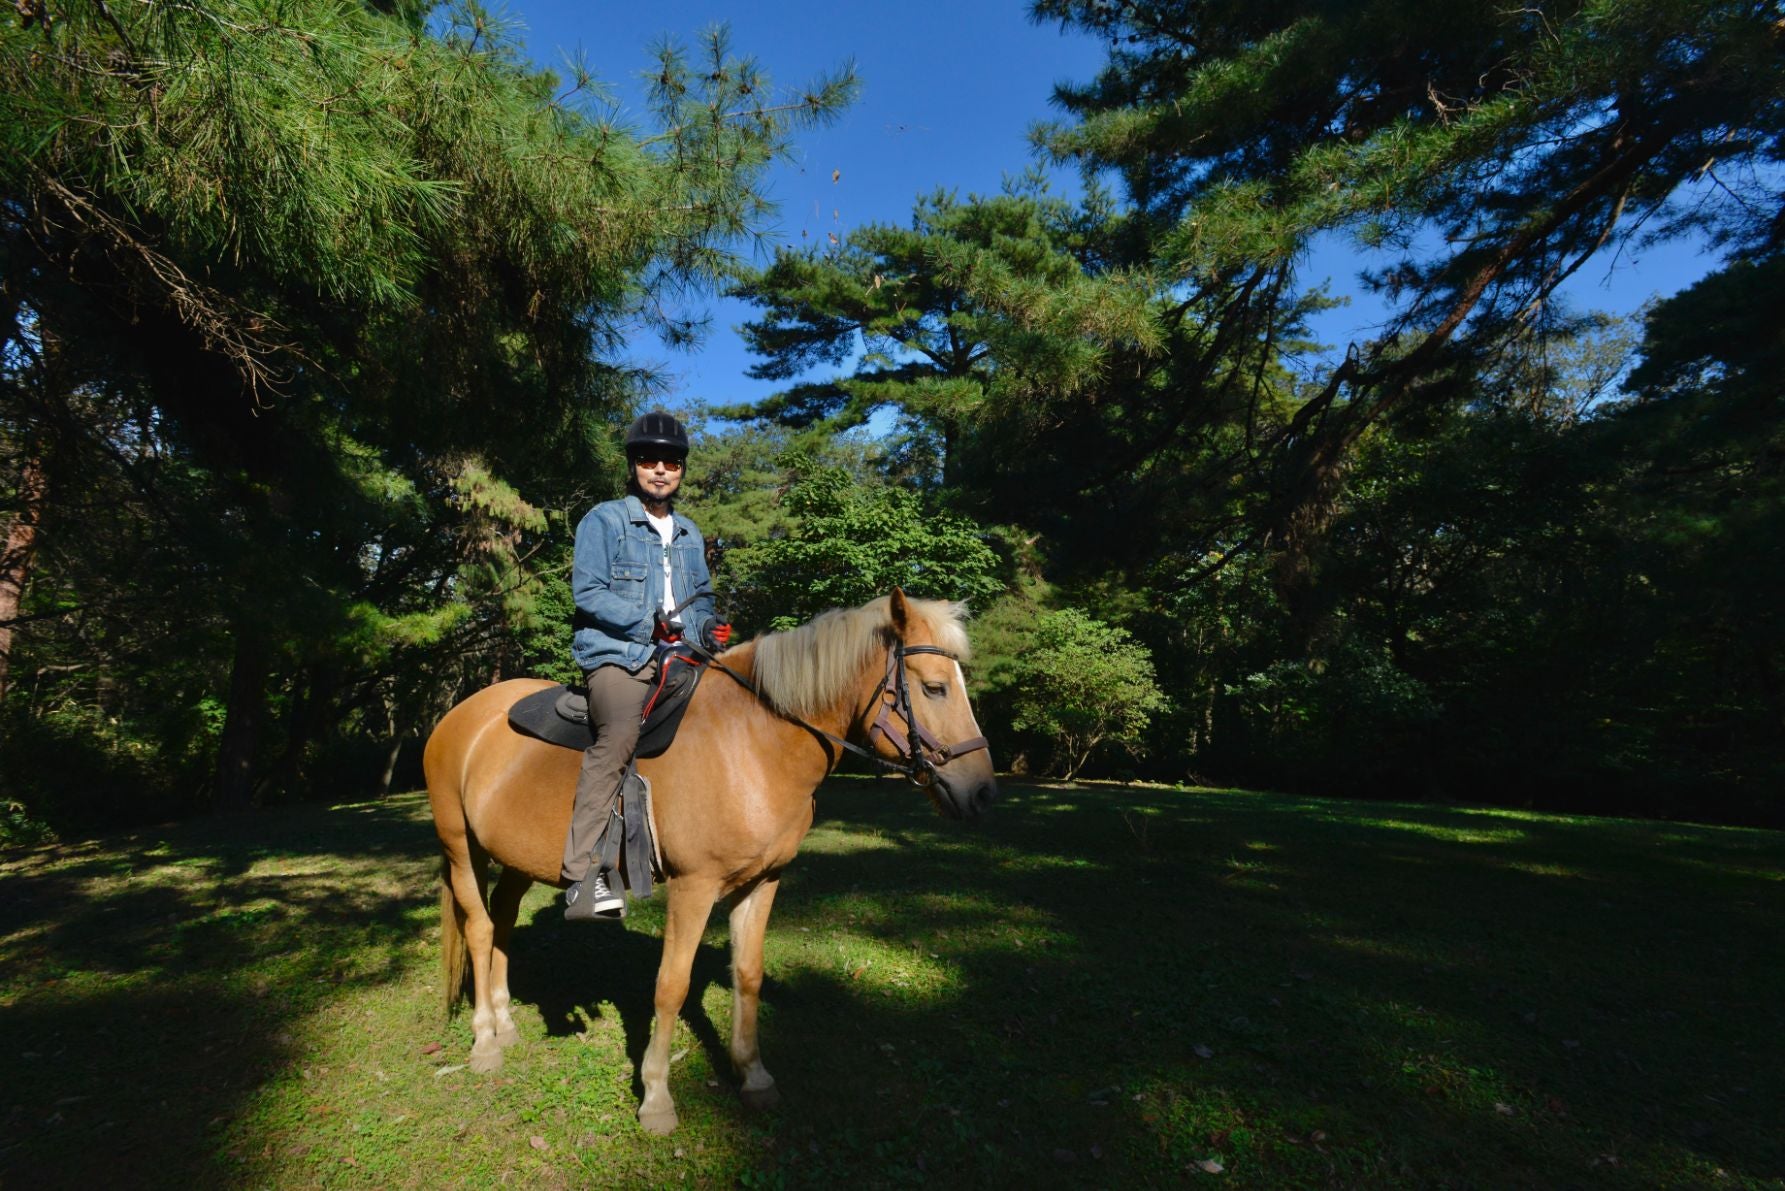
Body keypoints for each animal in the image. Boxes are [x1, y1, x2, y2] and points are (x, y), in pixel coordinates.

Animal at [424, 592, 999, 1135]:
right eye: (934, 688)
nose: (982, 794)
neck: (752, 741)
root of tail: (458, 717)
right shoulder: (692, 887)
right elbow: (671, 986)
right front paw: (657, 1097)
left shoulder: (763, 881)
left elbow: (748, 974)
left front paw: (754, 1076)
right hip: (460, 846)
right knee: (479, 928)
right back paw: (484, 1041)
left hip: (515, 858)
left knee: (502, 920)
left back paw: (504, 1021)